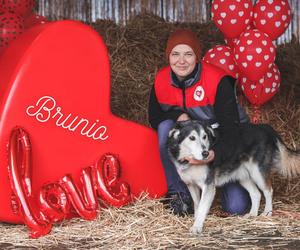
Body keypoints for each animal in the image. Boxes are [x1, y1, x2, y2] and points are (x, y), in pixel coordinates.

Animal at [166, 120, 300, 234]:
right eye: (192, 138)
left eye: (205, 137)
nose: (206, 153)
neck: (191, 161)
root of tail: (265, 127)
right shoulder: (191, 185)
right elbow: (197, 205)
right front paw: (196, 220)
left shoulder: (208, 186)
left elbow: (203, 207)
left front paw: (197, 227)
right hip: (243, 176)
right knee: (256, 194)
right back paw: (252, 214)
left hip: (257, 173)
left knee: (268, 191)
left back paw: (267, 212)